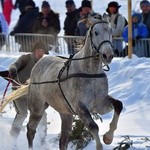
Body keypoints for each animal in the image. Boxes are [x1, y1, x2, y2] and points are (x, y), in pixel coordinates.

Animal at [26, 18, 123, 149]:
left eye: (111, 31)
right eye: (96, 32)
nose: (108, 55)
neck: (90, 72)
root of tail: (40, 61)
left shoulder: (100, 104)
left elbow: (118, 105)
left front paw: (108, 137)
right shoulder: (80, 107)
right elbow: (93, 127)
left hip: (65, 112)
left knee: (63, 140)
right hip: (37, 106)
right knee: (31, 130)